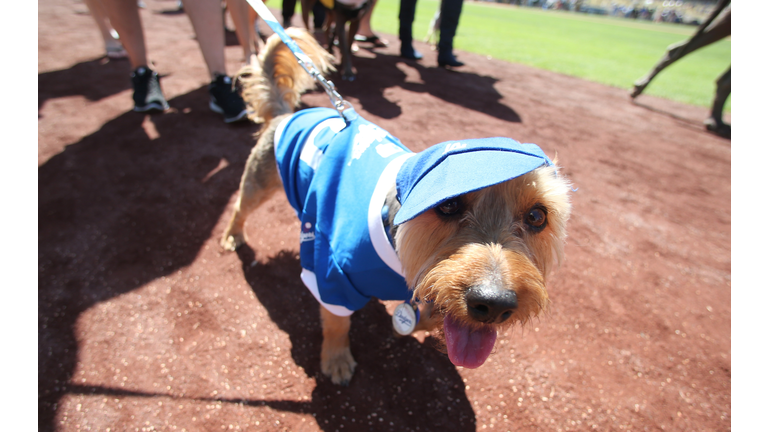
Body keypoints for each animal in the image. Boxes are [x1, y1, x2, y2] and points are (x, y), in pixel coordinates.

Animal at [220, 29, 568, 384]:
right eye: (449, 204)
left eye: (537, 216)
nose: (494, 303)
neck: (396, 245)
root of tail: (286, 113)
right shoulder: (331, 273)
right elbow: (336, 321)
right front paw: (336, 359)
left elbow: (430, 311)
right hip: (260, 181)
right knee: (240, 206)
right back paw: (233, 235)